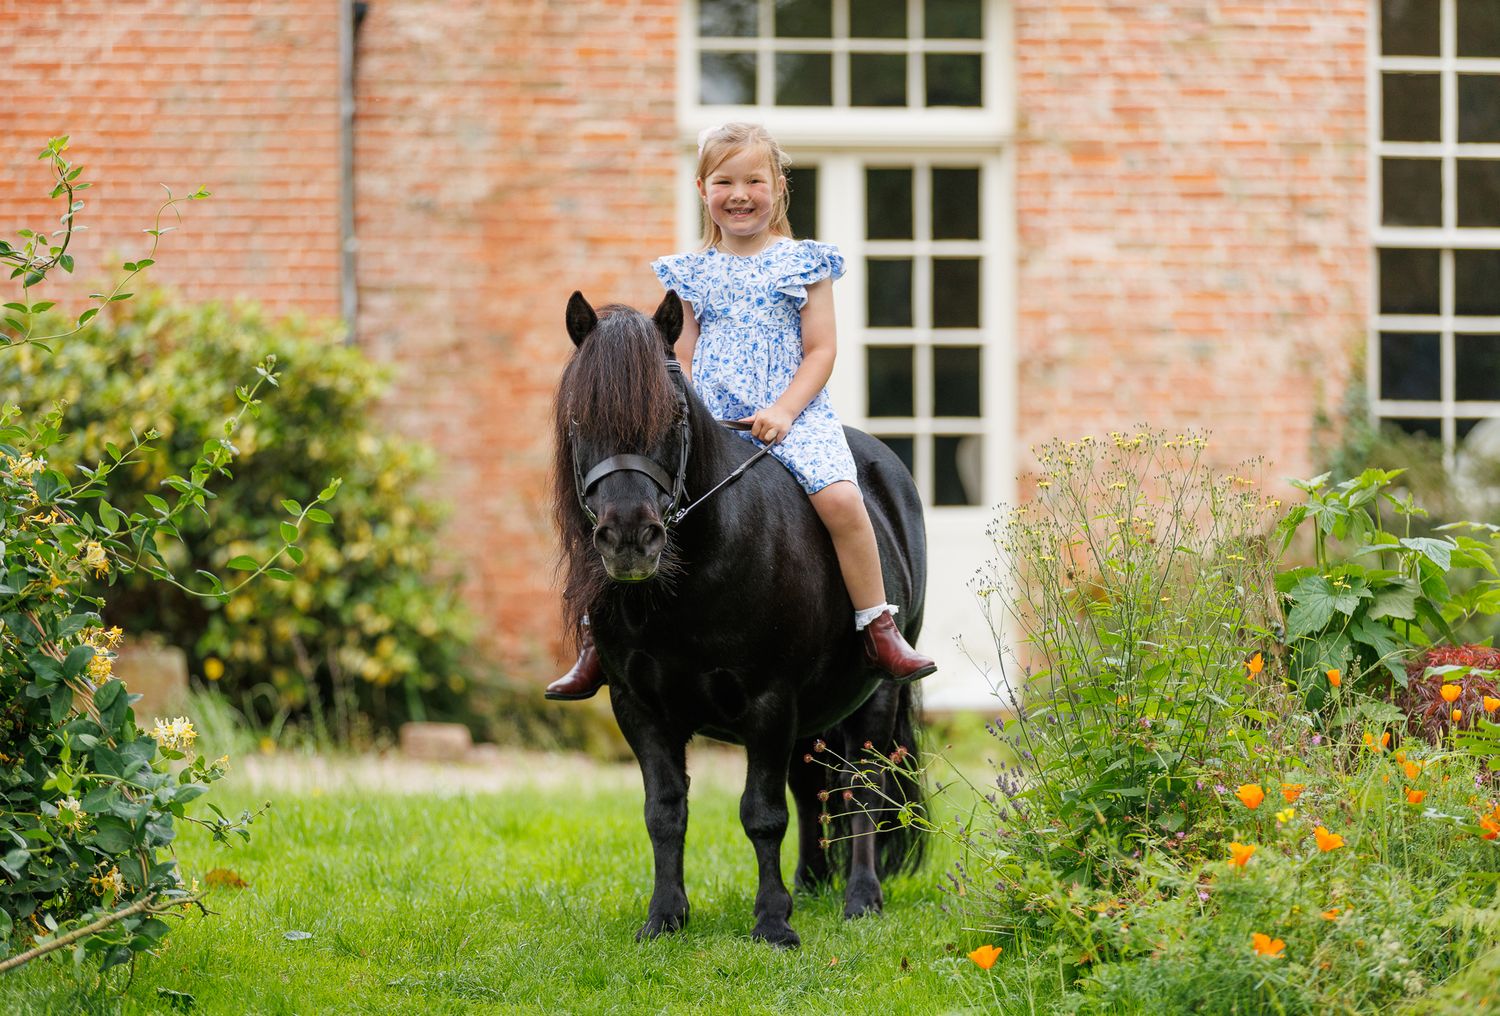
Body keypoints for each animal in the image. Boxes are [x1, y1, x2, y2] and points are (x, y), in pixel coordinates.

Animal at [551, 289, 928, 948]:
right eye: (579, 418)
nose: (630, 538)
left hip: (876, 694)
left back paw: (861, 898)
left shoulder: (769, 699)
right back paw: (812, 884)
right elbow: (664, 811)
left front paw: (773, 923)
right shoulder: (638, 705)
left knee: (863, 788)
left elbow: (762, 813)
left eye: (674, 415)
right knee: (813, 784)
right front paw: (665, 917)